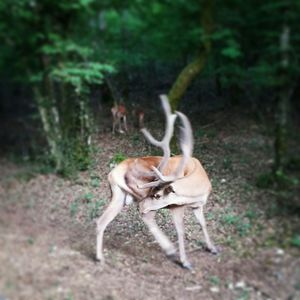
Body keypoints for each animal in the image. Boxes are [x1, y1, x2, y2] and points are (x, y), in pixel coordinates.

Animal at [97, 94, 217, 270]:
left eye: (158, 195)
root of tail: (114, 173)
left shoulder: (198, 205)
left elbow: (203, 223)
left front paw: (212, 248)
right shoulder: (176, 205)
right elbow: (180, 230)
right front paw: (185, 261)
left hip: (119, 195)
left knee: (101, 221)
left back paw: (99, 257)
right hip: (138, 196)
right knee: (146, 216)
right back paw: (170, 250)